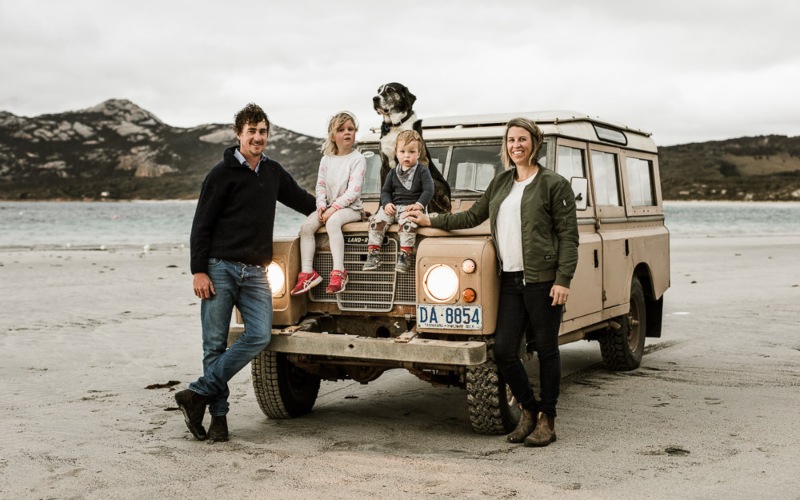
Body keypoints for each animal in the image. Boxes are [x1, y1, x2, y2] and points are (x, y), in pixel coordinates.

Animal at [374, 83, 450, 212]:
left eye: (390, 90)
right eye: (378, 91)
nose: (375, 98)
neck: (395, 126)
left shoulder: (422, 162)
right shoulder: (384, 164)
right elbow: (383, 190)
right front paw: (380, 210)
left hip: (436, 183)